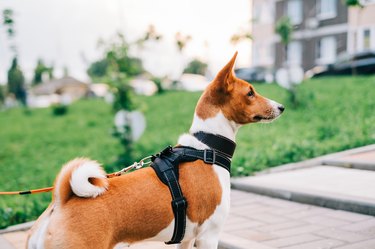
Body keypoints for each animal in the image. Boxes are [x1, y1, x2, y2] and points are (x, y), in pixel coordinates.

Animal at [27, 51, 284, 248]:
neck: (207, 148)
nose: (281, 107)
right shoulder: (209, 236)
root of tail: (61, 203)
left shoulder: (186, 239)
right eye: (250, 92)